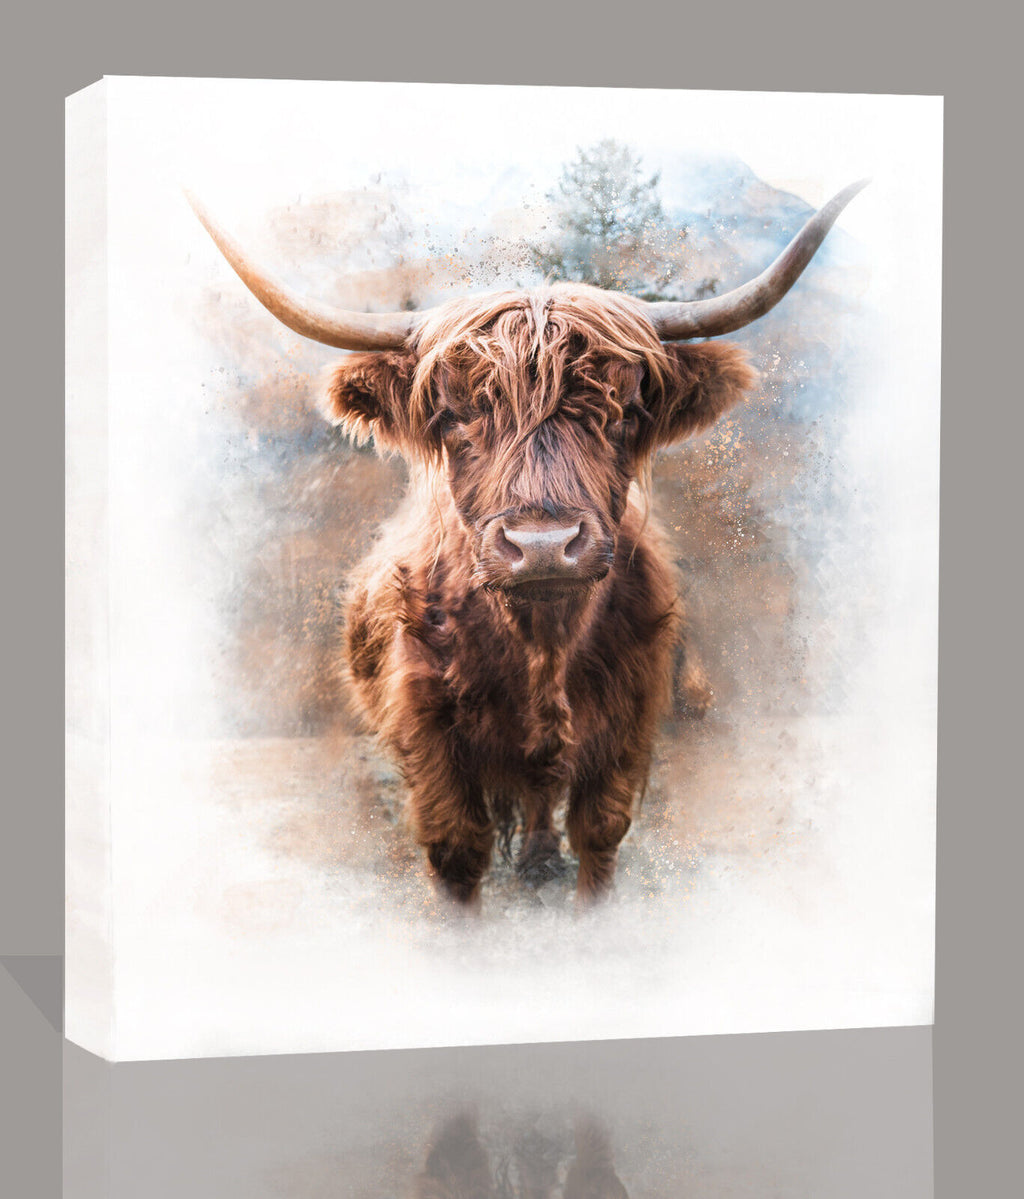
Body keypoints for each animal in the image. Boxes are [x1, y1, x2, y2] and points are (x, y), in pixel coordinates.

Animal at [188, 179, 866, 909]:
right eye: (453, 415)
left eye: (625, 413)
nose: (543, 545)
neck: (542, 642)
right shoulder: (428, 734)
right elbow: (457, 849)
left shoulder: (630, 723)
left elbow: (599, 833)